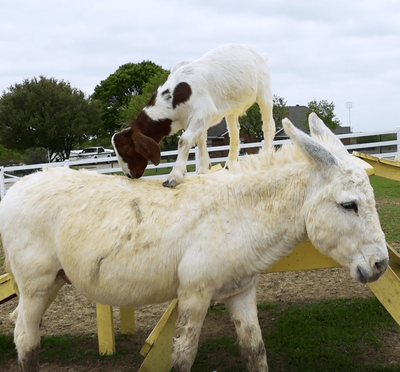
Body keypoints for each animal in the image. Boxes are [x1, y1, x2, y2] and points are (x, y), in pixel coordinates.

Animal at [0, 113, 388, 372]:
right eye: (349, 205)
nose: (381, 265)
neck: (236, 214)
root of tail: (18, 186)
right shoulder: (194, 295)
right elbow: (183, 357)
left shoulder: (240, 292)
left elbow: (256, 352)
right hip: (36, 285)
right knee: (26, 339)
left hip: (53, 282)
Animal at [112, 43, 276, 187]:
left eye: (126, 149)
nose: (129, 175)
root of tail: (259, 55)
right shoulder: (195, 120)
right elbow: (200, 139)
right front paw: (203, 169)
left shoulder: (204, 113)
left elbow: (184, 140)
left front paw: (174, 177)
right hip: (232, 108)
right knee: (234, 132)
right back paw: (230, 164)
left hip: (265, 93)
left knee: (268, 126)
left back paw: (266, 157)